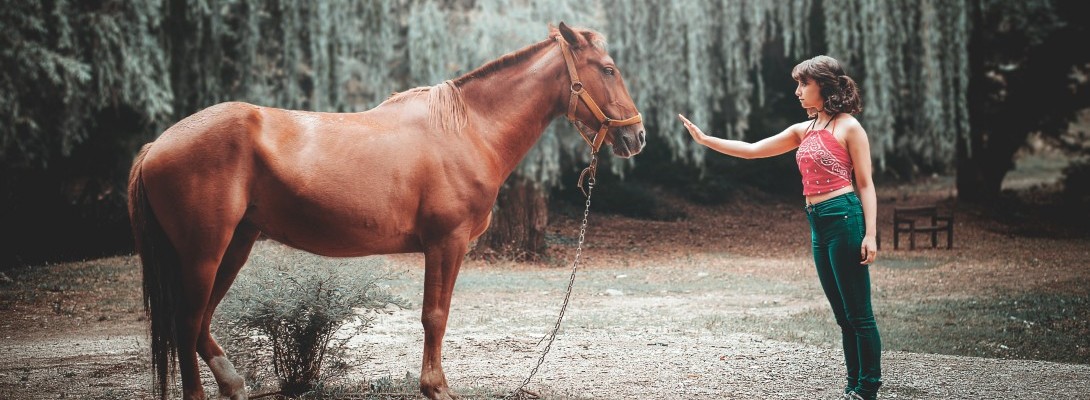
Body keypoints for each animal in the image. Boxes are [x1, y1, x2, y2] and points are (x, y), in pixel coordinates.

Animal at [127, 22, 644, 400]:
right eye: (608, 68)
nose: (636, 137)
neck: (467, 129)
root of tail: (157, 145)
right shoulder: (446, 243)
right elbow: (435, 315)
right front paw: (436, 388)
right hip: (203, 253)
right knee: (187, 323)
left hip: (235, 245)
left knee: (200, 322)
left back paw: (234, 385)